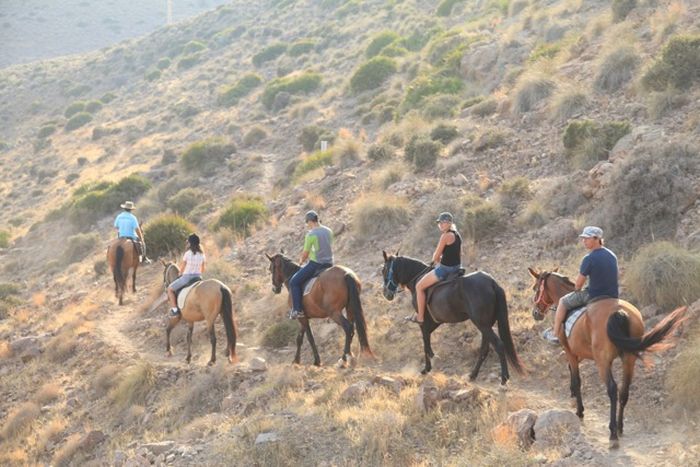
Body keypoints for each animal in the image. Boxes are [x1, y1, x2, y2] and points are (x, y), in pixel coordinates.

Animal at [380, 252, 524, 384]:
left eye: (384, 270)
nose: (386, 294)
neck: (416, 279)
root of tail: (492, 283)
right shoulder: (435, 321)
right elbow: (427, 338)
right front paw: (433, 359)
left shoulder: (423, 322)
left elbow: (425, 341)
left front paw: (427, 368)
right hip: (485, 325)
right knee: (484, 349)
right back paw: (473, 375)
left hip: (482, 325)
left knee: (498, 345)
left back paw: (504, 378)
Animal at [528, 266, 688, 446]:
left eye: (535, 288)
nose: (536, 313)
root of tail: (619, 312)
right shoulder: (581, 353)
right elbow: (571, 371)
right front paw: (572, 396)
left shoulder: (571, 352)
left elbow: (577, 379)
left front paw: (579, 410)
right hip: (628, 359)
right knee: (624, 390)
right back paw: (619, 427)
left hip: (602, 361)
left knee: (612, 389)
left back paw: (612, 434)